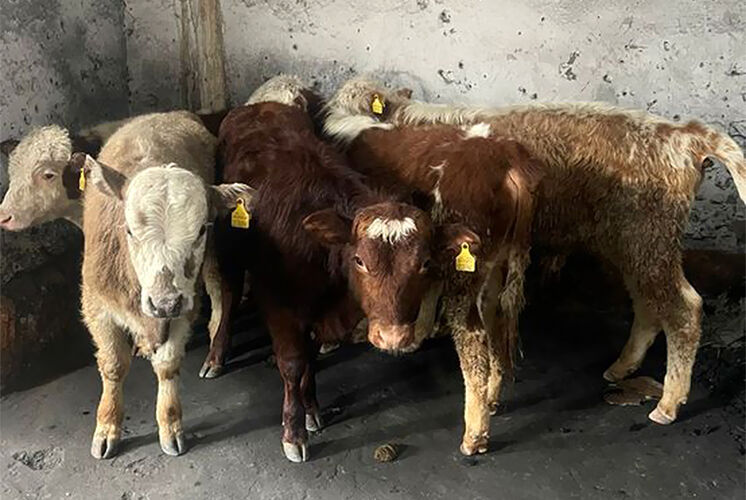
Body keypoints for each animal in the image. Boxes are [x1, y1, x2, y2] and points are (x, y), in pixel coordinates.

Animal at [75, 111, 253, 459]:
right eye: (129, 230)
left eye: (200, 230)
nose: (164, 303)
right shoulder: (97, 306)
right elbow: (113, 366)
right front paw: (107, 425)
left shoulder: (183, 306)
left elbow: (168, 366)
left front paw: (170, 425)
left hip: (211, 262)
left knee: (217, 289)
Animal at [324, 77, 746, 441]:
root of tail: (683, 133)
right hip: (635, 244)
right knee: (647, 303)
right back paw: (621, 368)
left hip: (650, 240)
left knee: (683, 310)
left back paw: (668, 404)